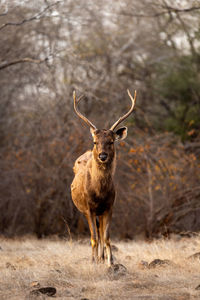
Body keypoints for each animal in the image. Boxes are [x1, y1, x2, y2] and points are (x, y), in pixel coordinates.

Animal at [70, 88, 136, 264]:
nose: (102, 155)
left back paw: (101, 258)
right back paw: (96, 258)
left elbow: (106, 237)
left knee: (100, 234)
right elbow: (93, 238)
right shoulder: (88, 208)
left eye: (111, 141)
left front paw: (110, 262)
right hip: (86, 211)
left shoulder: (109, 206)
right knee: (96, 235)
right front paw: (93, 262)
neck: (99, 193)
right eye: (95, 142)